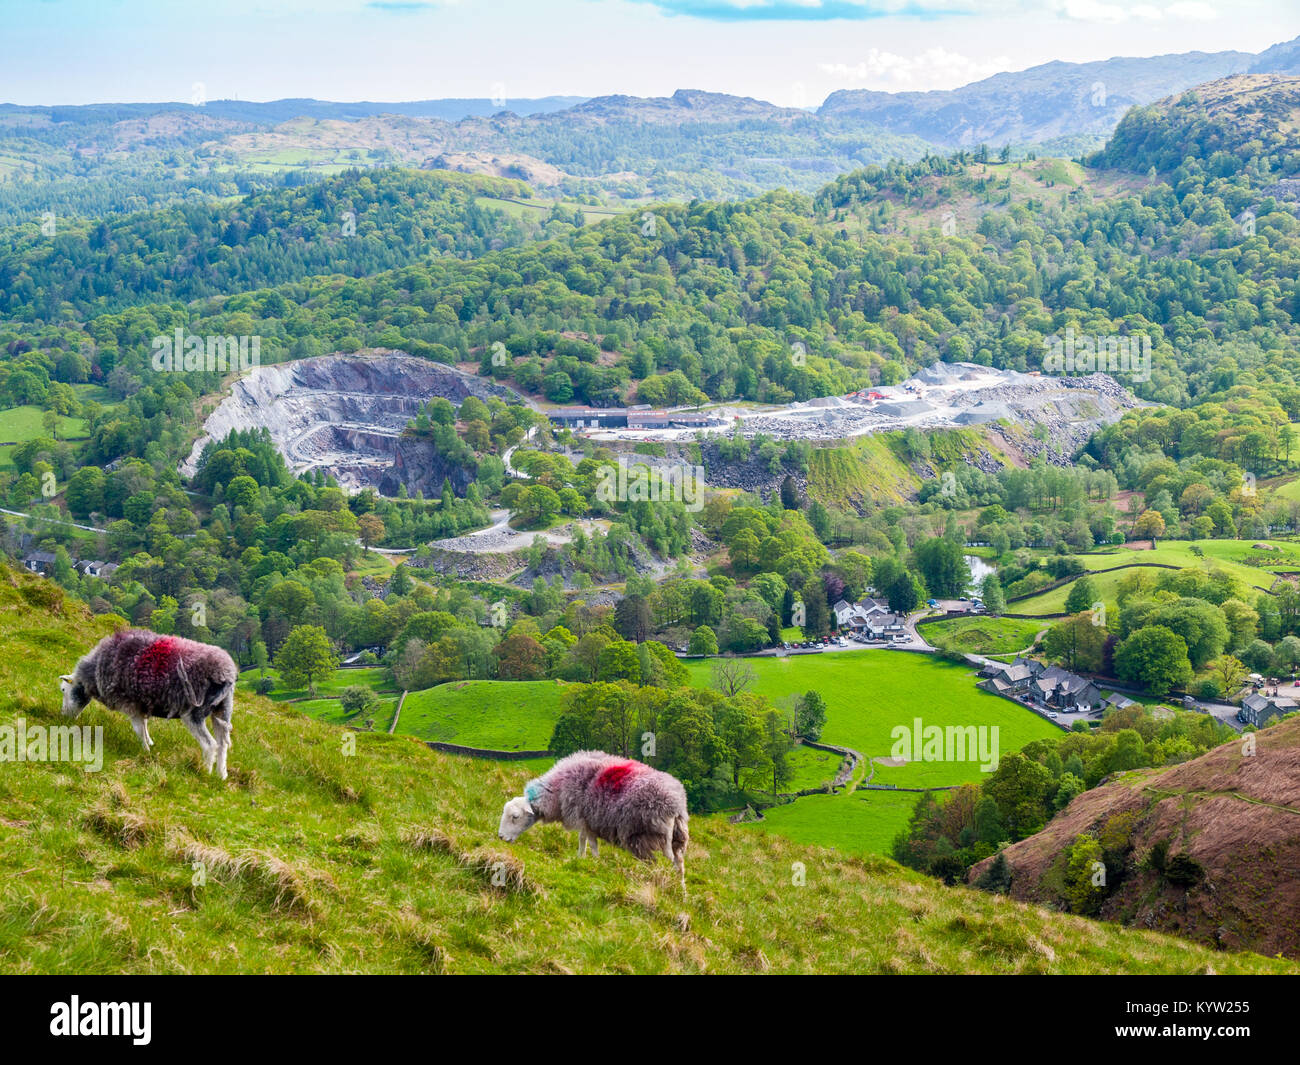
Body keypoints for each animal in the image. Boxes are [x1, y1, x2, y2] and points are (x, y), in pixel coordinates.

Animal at [59, 629, 237, 780]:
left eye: (63, 690)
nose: (64, 717)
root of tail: (226, 674)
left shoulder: (131, 704)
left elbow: (138, 729)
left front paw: (145, 751)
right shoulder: (142, 704)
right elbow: (144, 726)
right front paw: (149, 743)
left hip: (194, 713)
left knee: (210, 745)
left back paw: (205, 772)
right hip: (222, 710)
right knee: (222, 744)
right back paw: (221, 775)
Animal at [496, 749, 691, 889]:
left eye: (515, 817)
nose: (500, 837)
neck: (557, 790)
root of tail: (676, 803)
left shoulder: (583, 818)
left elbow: (585, 841)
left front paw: (584, 859)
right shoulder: (591, 821)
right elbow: (591, 842)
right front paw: (592, 861)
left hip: (650, 837)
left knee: (663, 864)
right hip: (677, 838)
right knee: (680, 866)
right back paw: (681, 892)